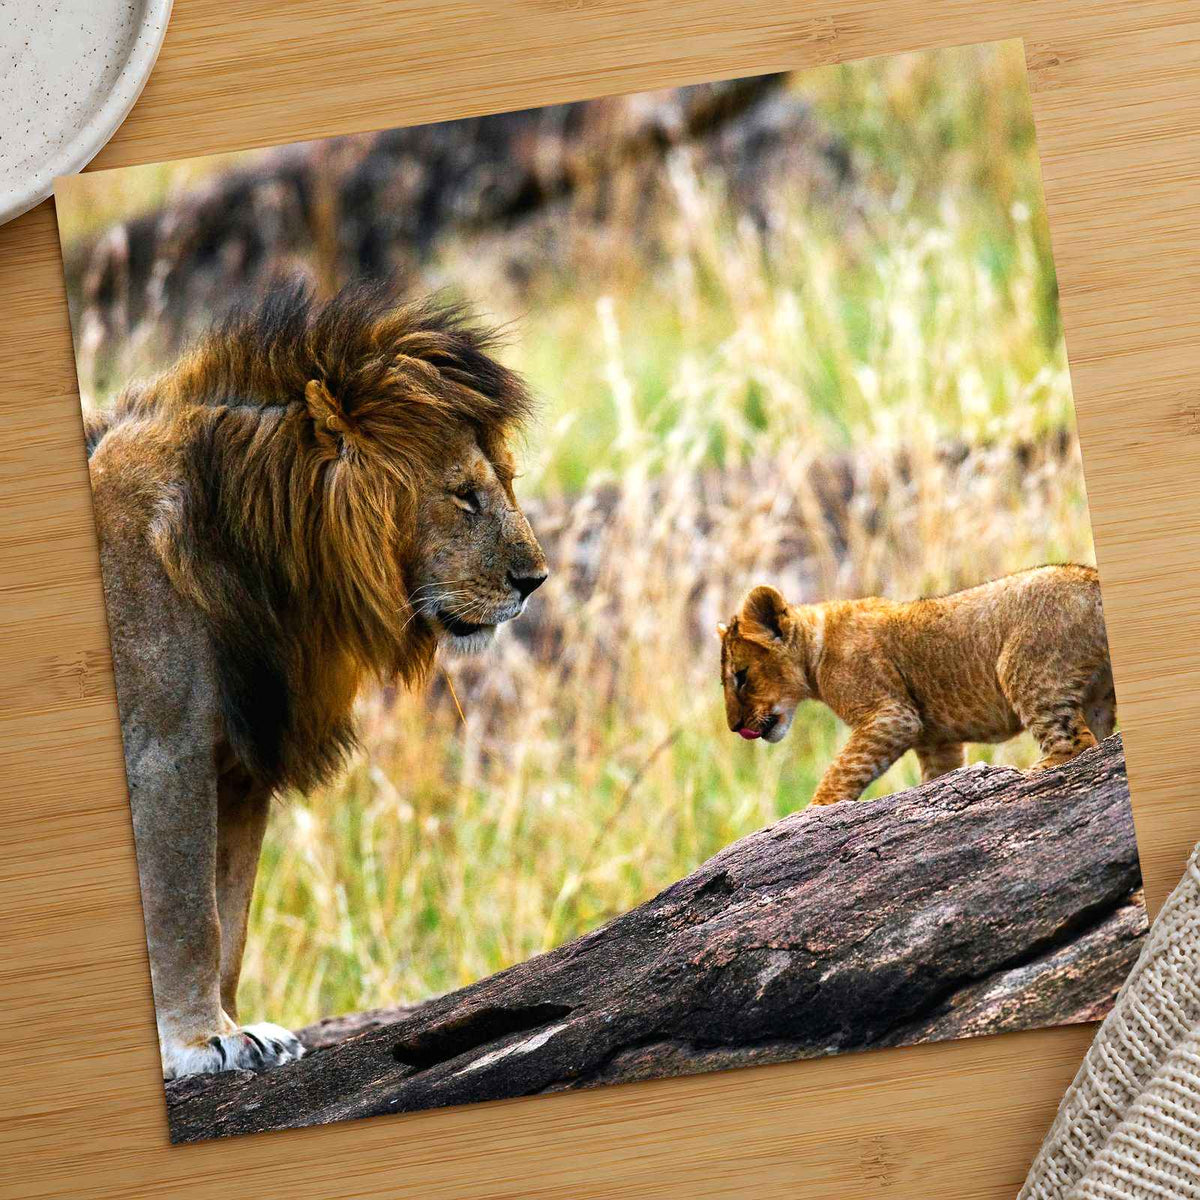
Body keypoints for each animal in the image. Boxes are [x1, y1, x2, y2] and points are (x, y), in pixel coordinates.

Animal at [86, 282, 548, 1079]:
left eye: (507, 483)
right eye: (463, 494)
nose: (536, 580)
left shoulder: (239, 765)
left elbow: (229, 917)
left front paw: (241, 1031)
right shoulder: (162, 750)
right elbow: (186, 913)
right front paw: (198, 1041)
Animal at [718, 564, 1115, 808]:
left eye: (741, 676)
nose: (734, 727)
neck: (815, 650)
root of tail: (1094, 578)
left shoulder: (892, 716)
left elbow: (843, 769)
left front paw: (813, 811)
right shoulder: (935, 741)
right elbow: (935, 776)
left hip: (1023, 669)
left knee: (1076, 742)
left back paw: (1030, 774)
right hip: (1098, 694)